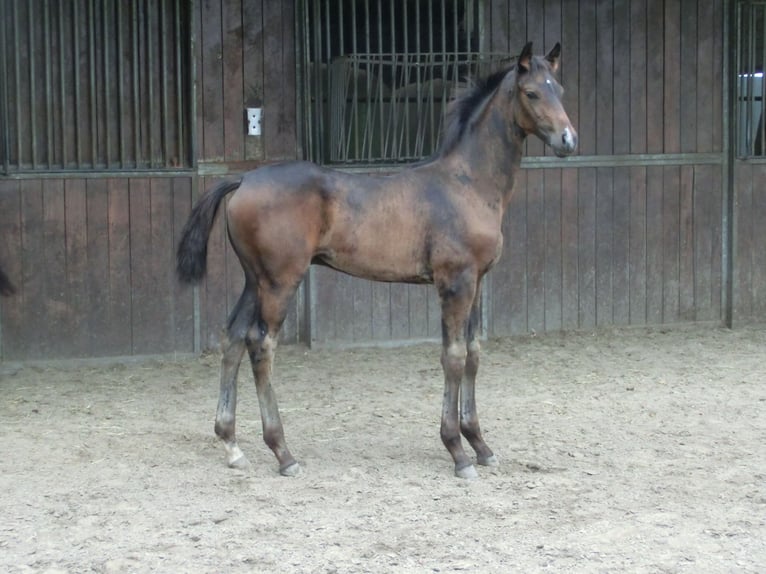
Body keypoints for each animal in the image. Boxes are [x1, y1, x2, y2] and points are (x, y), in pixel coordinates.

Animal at [176, 42, 577, 478]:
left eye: (560, 88)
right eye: (532, 93)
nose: (568, 139)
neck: (467, 183)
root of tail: (244, 180)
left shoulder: (477, 281)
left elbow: (472, 354)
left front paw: (480, 445)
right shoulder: (455, 282)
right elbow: (453, 356)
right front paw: (457, 451)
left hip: (256, 279)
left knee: (232, 337)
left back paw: (232, 444)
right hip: (281, 282)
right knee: (260, 345)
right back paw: (283, 452)